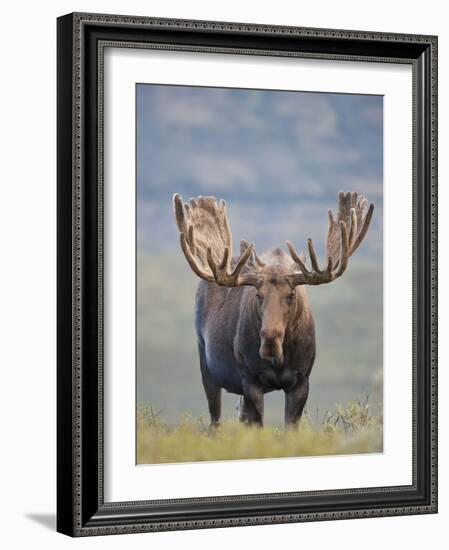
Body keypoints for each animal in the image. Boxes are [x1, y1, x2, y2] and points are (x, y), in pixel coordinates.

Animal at [173, 192, 372, 430]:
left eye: (291, 295)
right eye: (258, 295)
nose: (269, 341)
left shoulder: (301, 380)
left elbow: (289, 428)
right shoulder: (250, 379)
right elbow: (258, 426)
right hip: (206, 362)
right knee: (216, 420)